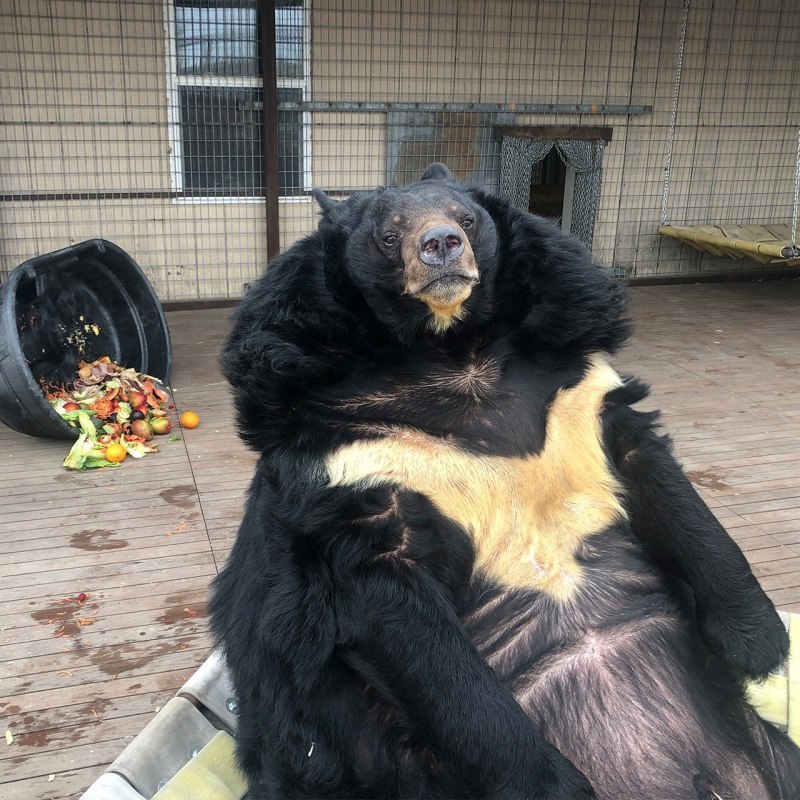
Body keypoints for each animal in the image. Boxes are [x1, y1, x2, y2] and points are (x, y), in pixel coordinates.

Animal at [210, 163, 800, 799]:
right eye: (389, 236)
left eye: (467, 219)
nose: (441, 244)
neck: (451, 350)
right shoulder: (346, 460)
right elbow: (430, 653)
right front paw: (557, 788)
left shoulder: (578, 384)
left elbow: (661, 479)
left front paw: (758, 644)